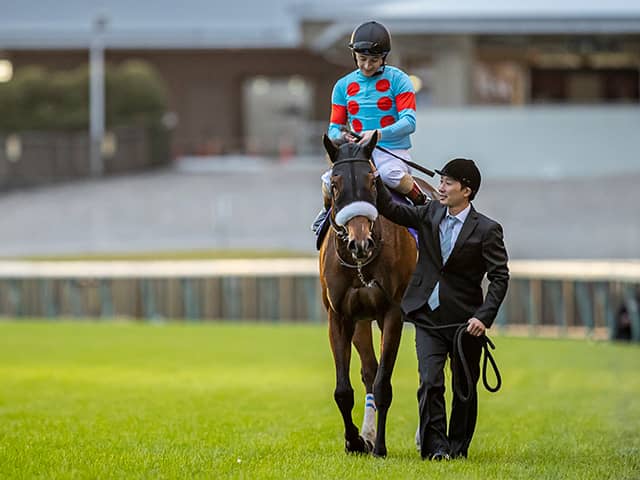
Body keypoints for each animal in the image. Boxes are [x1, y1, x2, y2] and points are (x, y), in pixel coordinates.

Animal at [318, 132, 437, 457]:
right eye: (335, 185)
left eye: (372, 181)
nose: (360, 243)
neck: (361, 264)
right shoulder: (340, 315)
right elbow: (344, 390)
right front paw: (355, 440)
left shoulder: (392, 312)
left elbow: (385, 384)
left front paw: (380, 447)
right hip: (361, 320)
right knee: (369, 371)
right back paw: (367, 434)